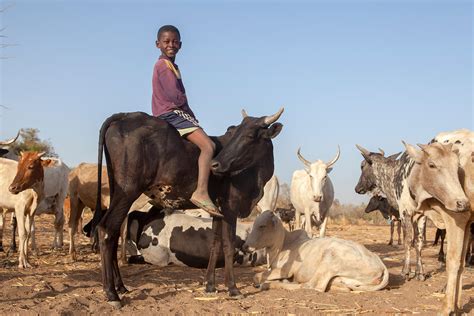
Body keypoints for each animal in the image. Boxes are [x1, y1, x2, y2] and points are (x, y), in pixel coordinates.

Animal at [244, 211, 388, 292]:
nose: (245, 246)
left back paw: (268, 285)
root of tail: (381, 266)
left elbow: (256, 276)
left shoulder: (285, 270)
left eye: (262, 226)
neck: (284, 244)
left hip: (329, 261)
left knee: (311, 286)